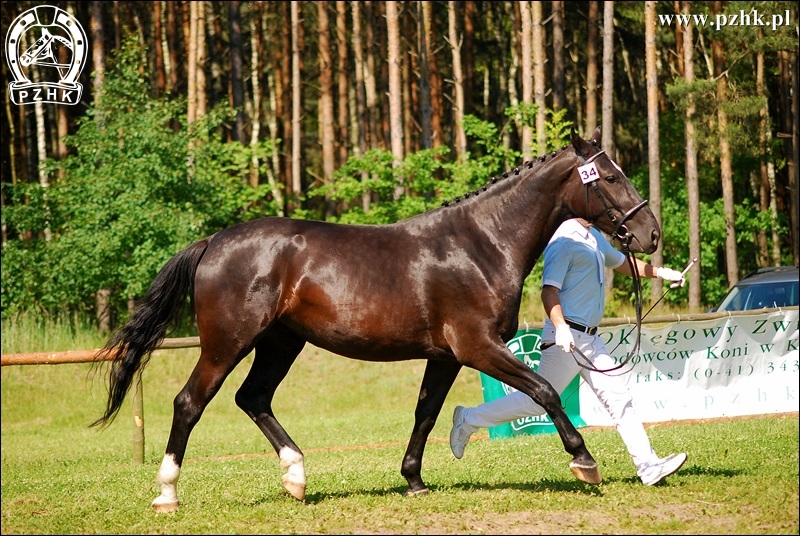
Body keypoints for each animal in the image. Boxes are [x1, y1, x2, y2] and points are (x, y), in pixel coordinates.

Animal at [90, 127, 660, 512]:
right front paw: (584, 462)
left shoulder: (445, 356)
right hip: (227, 342)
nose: (650, 234)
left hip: (280, 343)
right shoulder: (477, 346)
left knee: (253, 398)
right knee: (190, 402)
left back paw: (296, 477)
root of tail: (214, 242)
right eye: (611, 177)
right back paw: (167, 494)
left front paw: (414, 480)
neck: (481, 243)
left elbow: (426, 413)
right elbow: (542, 391)